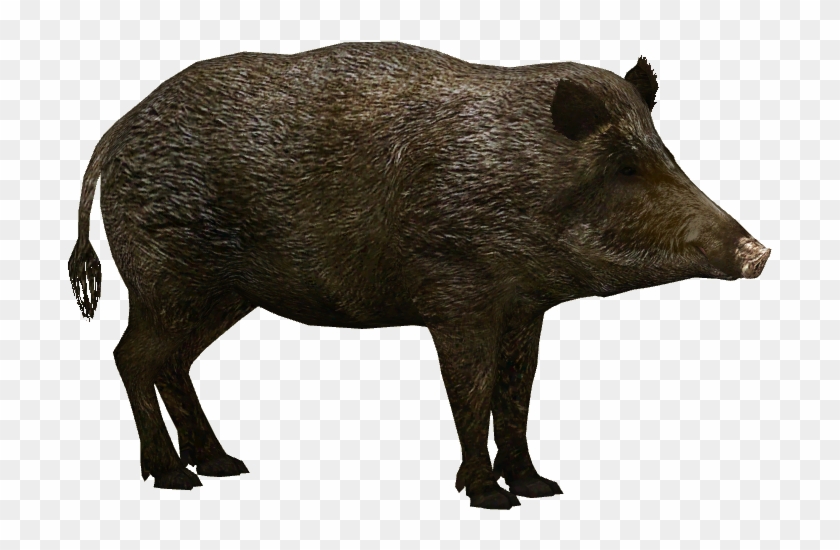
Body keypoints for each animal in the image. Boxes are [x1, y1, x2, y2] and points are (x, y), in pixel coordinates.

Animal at [68, 41, 770, 509]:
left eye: (667, 155)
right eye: (624, 167)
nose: (758, 253)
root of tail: (117, 132)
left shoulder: (526, 307)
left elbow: (518, 393)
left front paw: (541, 487)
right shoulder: (456, 295)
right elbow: (474, 391)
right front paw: (492, 497)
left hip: (221, 295)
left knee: (170, 362)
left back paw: (224, 465)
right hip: (167, 277)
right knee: (131, 356)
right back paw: (176, 476)